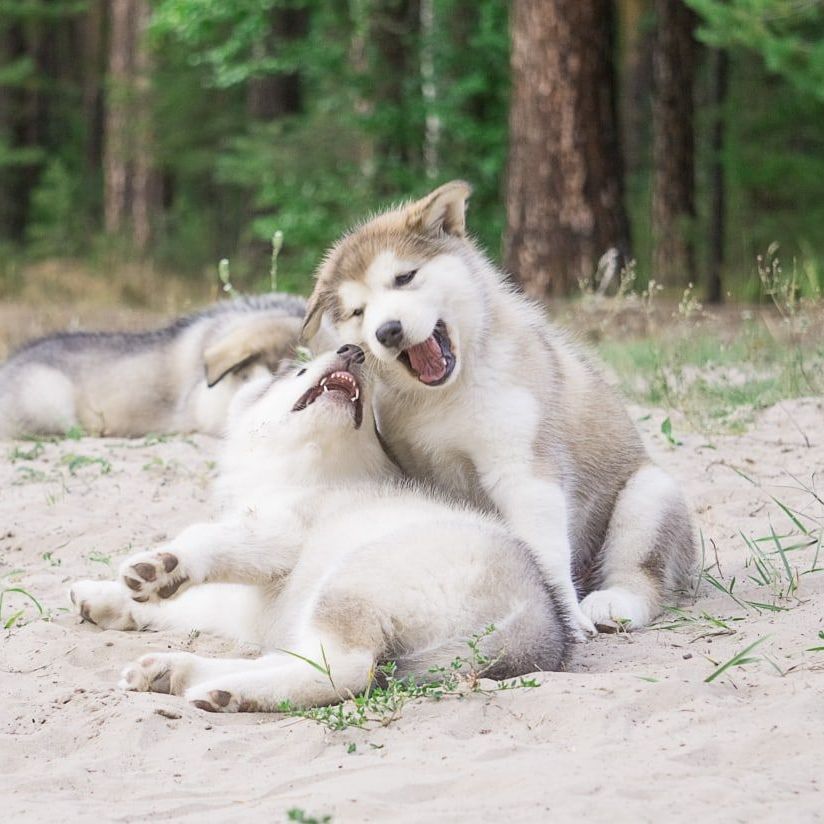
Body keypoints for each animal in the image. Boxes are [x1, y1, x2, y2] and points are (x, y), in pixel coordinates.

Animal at [69, 344, 568, 712]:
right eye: (300, 370)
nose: (353, 349)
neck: (312, 470)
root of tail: (537, 617)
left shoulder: (280, 533)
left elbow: (205, 540)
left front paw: (163, 566)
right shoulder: (241, 598)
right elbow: (181, 605)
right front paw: (104, 597)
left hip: (354, 580)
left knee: (345, 670)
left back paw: (230, 691)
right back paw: (179, 673)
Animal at [300, 180, 696, 636]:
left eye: (405, 277)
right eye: (357, 312)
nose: (388, 331)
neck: (446, 396)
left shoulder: (523, 470)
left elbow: (546, 551)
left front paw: (565, 617)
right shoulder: (417, 468)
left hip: (648, 494)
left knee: (643, 573)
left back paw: (612, 603)